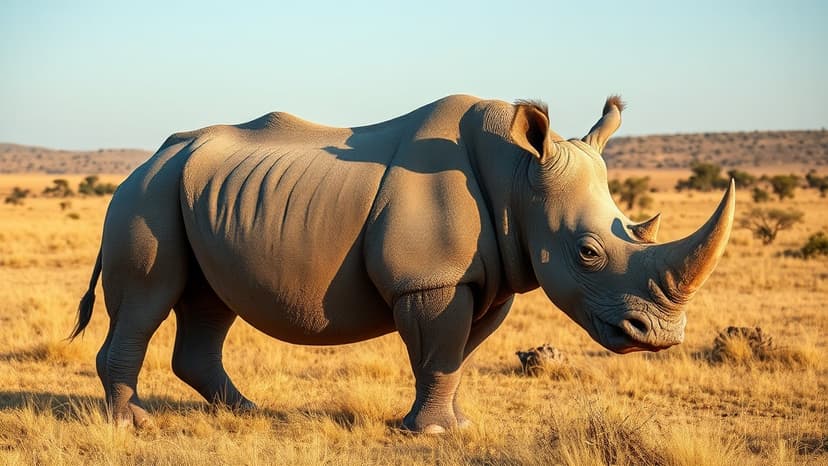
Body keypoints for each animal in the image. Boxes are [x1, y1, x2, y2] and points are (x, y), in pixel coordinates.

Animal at [72, 94, 734, 433]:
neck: (519, 177)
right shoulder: (429, 278)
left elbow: (456, 354)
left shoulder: (487, 279)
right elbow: (438, 350)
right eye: (588, 254)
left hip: (196, 196)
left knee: (208, 304)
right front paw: (434, 433)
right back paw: (131, 424)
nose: (661, 337)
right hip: (145, 198)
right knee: (149, 299)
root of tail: (145, 162)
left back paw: (248, 413)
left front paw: (452, 425)